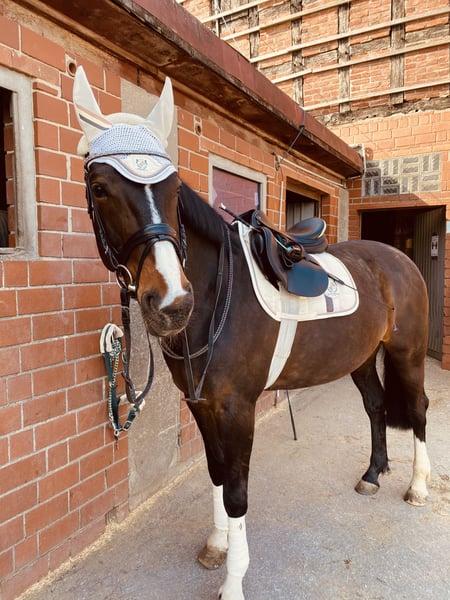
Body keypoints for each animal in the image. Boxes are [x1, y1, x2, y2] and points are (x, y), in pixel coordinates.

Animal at [73, 67, 431, 600]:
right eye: (99, 187)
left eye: (174, 188)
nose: (172, 304)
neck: (219, 296)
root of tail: (398, 259)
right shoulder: (202, 405)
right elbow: (218, 474)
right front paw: (217, 545)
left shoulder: (238, 409)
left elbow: (238, 492)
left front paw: (233, 581)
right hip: (364, 357)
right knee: (375, 405)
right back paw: (372, 473)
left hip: (407, 352)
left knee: (420, 410)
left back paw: (418, 487)